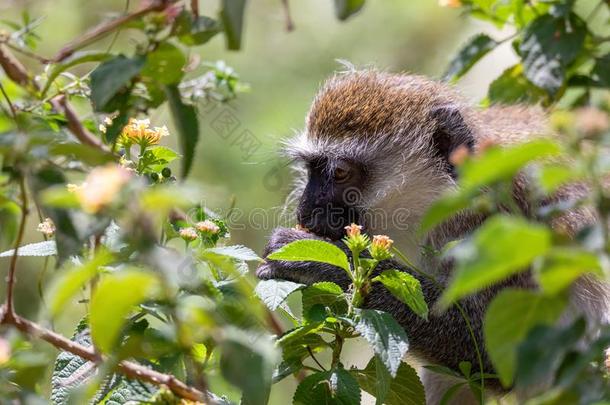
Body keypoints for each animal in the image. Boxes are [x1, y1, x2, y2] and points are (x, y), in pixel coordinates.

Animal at [255, 68, 608, 400]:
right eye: (311, 170)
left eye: (340, 172)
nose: (305, 211)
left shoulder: (502, 225)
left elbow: (499, 358)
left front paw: (317, 261)